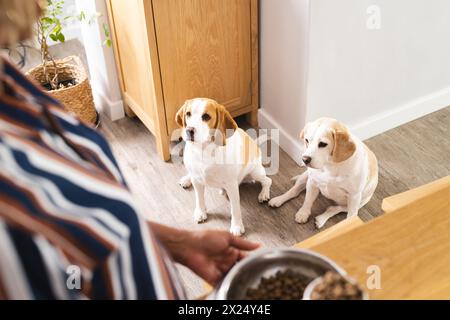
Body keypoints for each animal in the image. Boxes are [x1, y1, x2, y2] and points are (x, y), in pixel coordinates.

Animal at [175, 97, 270, 235]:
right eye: (188, 114)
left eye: (206, 116)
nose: (189, 130)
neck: (204, 150)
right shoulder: (197, 181)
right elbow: (199, 198)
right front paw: (200, 212)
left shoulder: (232, 186)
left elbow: (235, 209)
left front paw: (237, 226)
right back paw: (186, 179)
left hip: (255, 172)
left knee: (267, 180)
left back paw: (264, 194)